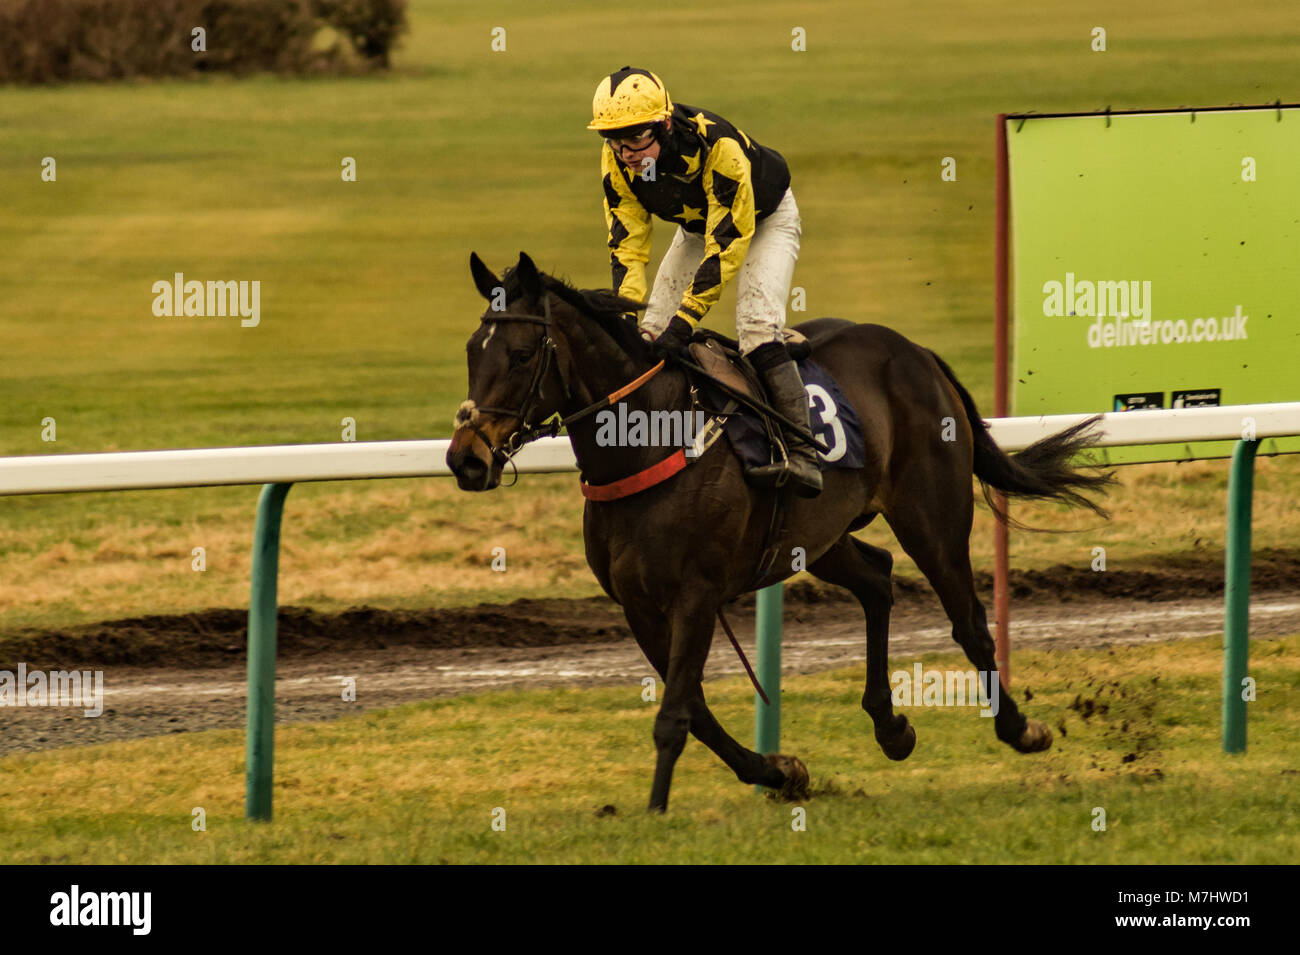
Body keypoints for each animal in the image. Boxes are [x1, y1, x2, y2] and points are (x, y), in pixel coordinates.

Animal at [449, 252, 1118, 815]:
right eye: (472, 352)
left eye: (520, 354)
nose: (465, 459)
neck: (648, 442)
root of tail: (917, 352)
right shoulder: (638, 604)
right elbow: (694, 708)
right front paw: (780, 771)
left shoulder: (696, 593)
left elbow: (675, 712)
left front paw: (656, 808)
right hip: (817, 537)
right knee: (877, 578)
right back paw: (891, 726)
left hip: (933, 517)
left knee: (969, 622)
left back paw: (1019, 728)